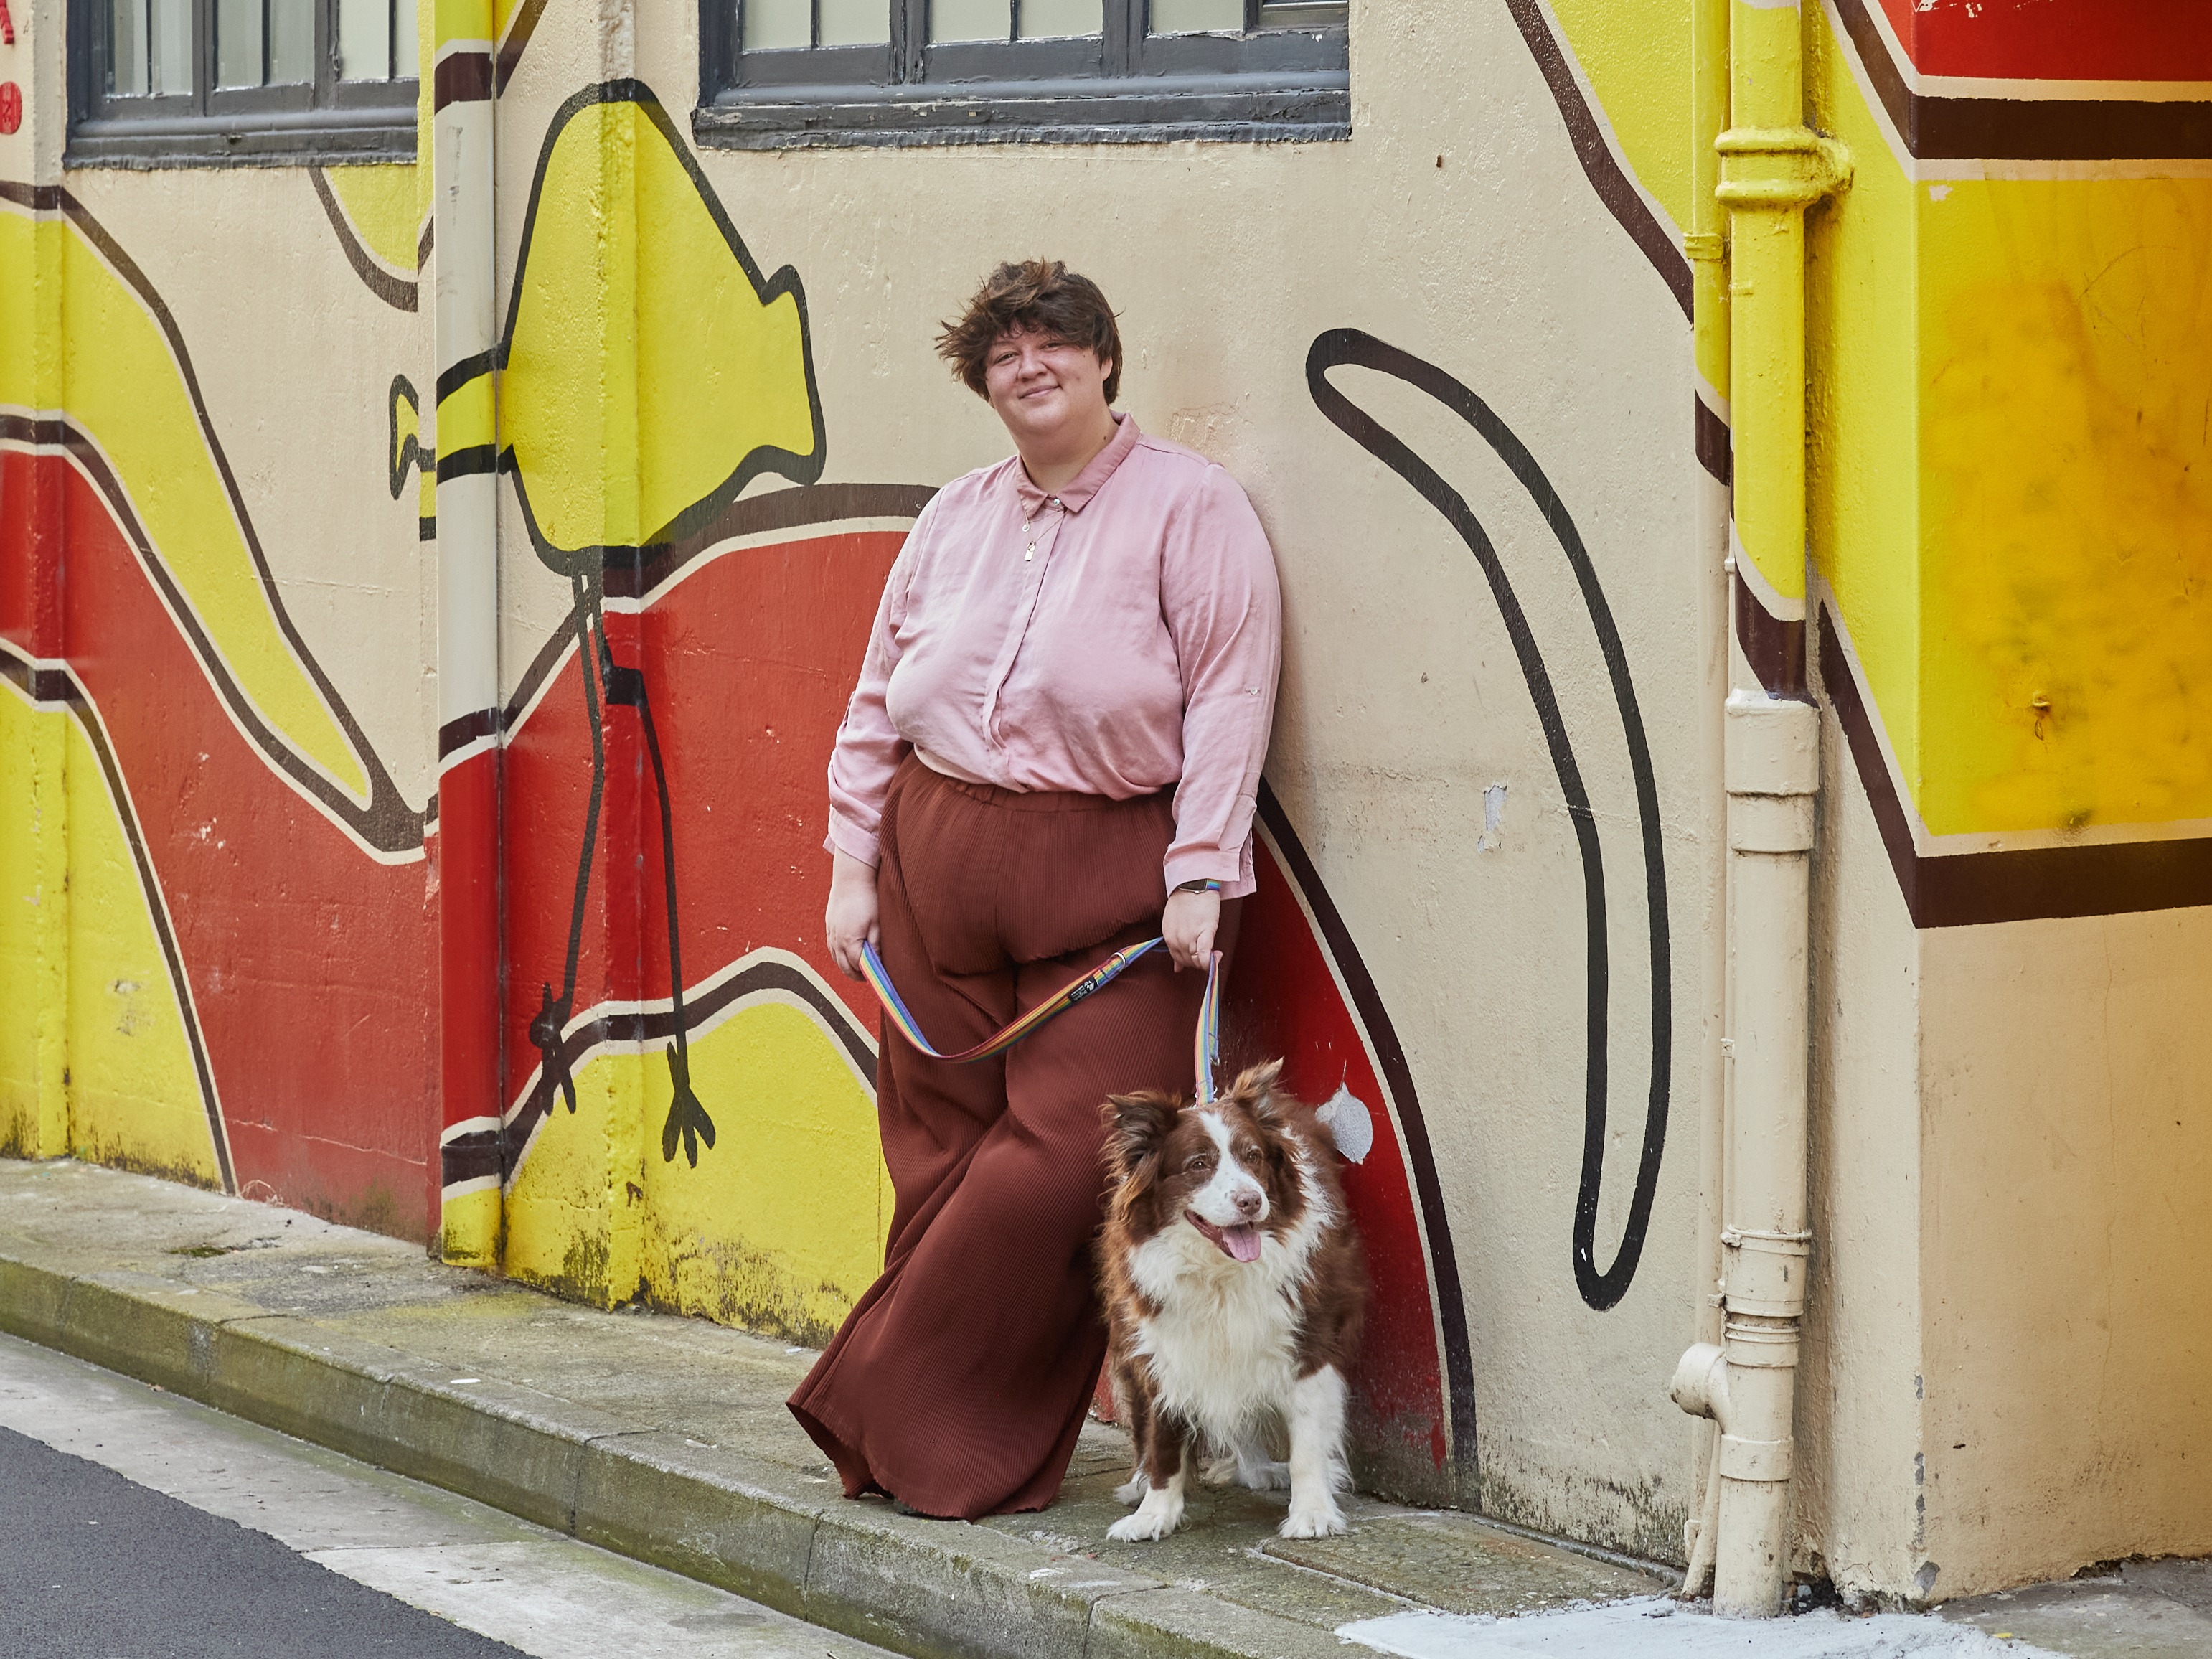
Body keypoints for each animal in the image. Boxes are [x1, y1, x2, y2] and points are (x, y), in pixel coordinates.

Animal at [1088, 1066, 1363, 1548]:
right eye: (1198, 1164)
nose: (1250, 1200)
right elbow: (1164, 1441)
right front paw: (1153, 1514)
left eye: (1253, 1157)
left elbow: (1308, 1441)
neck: (1220, 1274)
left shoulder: (1310, 1334)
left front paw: (1312, 1514)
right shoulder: (1165, 1342)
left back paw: (1260, 1470)